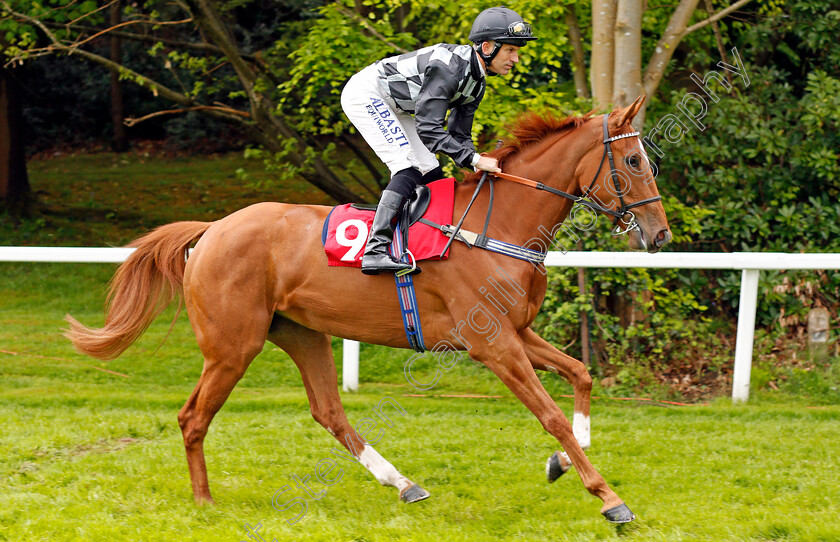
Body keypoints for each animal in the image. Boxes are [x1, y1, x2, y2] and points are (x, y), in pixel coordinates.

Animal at [64, 95, 668, 524]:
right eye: (633, 160)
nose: (660, 235)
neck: (495, 226)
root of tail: (212, 230)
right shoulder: (493, 344)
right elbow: (551, 416)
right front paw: (609, 498)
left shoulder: (516, 332)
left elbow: (581, 374)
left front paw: (563, 464)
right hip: (234, 345)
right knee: (194, 417)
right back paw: (205, 502)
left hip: (302, 333)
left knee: (329, 412)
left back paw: (404, 484)